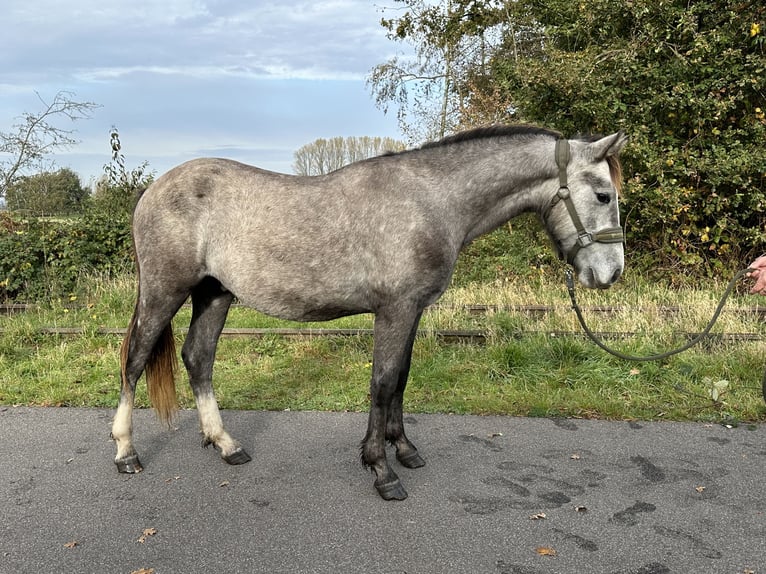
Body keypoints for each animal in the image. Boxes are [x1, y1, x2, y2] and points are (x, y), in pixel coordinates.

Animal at [114, 125, 632, 500]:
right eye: (603, 195)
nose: (610, 273)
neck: (431, 200)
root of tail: (153, 189)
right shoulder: (394, 309)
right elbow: (382, 383)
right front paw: (381, 470)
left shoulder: (413, 310)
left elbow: (401, 377)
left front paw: (405, 451)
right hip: (164, 291)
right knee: (135, 361)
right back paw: (126, 453)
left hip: (215, 294)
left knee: (198, 359)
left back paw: (226, 445)